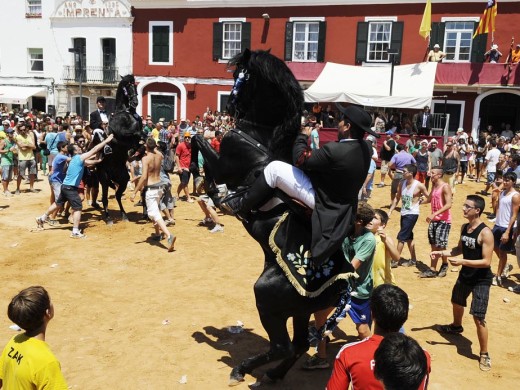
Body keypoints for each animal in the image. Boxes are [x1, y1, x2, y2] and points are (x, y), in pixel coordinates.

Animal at [95, 74, 144, 224]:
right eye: (127, 87)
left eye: (135, 85)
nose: (135, 103)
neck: (125, 112)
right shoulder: (121, 133)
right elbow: (135, 134)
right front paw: (133, 149)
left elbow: (140, 137)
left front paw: (135, 150)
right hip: (104, 180)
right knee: (105, 199)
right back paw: (108, 219)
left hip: (123, 179)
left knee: (117, 195)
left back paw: (124, 215)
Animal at [189, 50, 352, 386]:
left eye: (239, 75)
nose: (230, 106)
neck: (259, 136)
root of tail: (341, 286)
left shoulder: (225, 164)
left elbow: (199, 141)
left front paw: (208, 184)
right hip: (300, 310)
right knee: (298, 345)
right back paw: (273, 375)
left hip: (267, 297)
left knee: (282, 346)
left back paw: (243, 370)